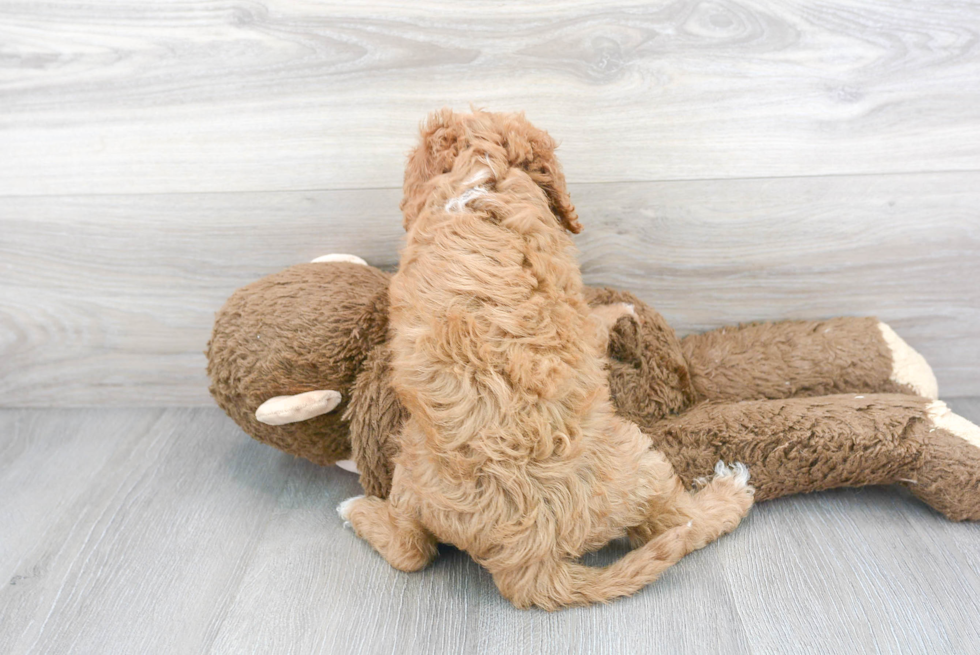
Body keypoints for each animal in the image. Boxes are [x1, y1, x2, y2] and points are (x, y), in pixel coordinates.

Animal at [336, 110, 752, 612]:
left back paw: (358, 510)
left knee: (409, 549)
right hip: (639, 462)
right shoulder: (572, 301)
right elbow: (595, 322)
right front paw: (620, 310)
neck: (483, 178)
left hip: (411, 470)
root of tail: (531, 562)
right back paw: (729, 493)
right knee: (678, 524)